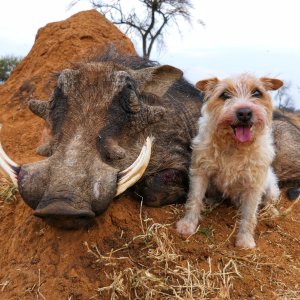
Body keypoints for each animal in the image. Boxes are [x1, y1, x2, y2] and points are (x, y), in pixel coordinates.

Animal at [176, 74, 284, 247]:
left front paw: (245, 240)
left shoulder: (254, 185)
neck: (235, 145)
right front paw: (187, 225)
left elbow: (249, 215)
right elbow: (194, 199)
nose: (244, 112)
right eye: (225, 95)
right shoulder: (200, 172)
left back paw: (272, 212)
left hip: (270, 187)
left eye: (257, 93)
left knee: (268, 201)